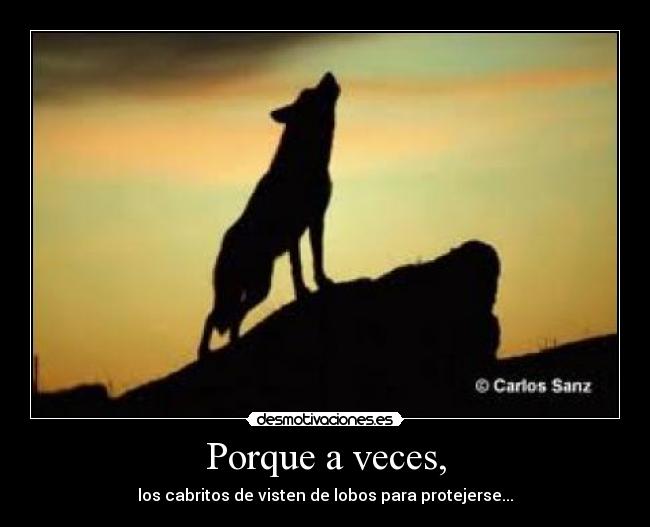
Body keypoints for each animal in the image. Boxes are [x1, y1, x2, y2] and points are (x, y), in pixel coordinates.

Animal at [198, 72, 341, 357]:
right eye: (310, 93)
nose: (328, 74)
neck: (304, 161)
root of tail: (223, 246)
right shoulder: (299, 227)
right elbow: (301, 266)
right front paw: (308, 291)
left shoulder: (312, 223)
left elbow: (312, 261)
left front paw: (316, 286)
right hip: (243, 290)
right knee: (214, 316)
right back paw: (204, 352)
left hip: (258, 288)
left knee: (234, 318)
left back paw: (234, 345)